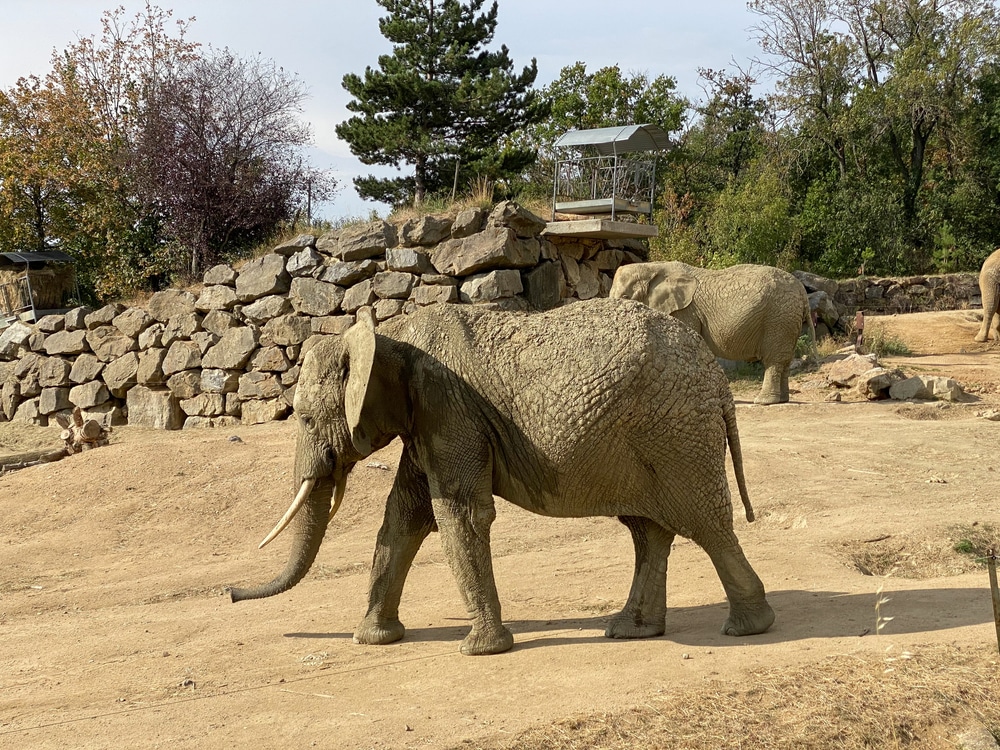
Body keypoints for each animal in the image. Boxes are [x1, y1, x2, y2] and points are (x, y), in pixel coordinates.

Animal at [230, 300, 776, 656]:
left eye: (303, 419)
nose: (231, 594)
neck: (389, 334)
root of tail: (719, 381)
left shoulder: (448, 409)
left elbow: (459, 514)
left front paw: (479, 649)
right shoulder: (429, 420)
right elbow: (405, 515)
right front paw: (375, 639)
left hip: (677, 433)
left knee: (705, 525)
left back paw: (749, 628)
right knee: (648, 530)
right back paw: (630, 630)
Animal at [608, 262, 812, 406]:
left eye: (625, 297)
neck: (652, 267)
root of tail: (803, 292)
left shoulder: (685, 310)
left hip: (778, 318)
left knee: (773, 360)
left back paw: (764, 402)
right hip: (787, 320)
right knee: (784, 360)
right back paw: (783, 400)